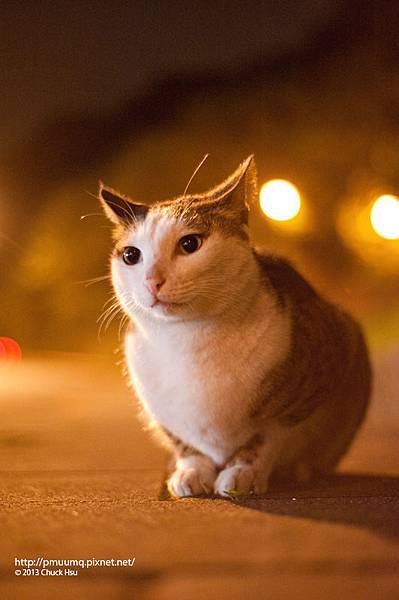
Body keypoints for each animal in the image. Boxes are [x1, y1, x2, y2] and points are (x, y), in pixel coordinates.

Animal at [97, 156, 372, 496]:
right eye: (131, 255)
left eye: (190, 243)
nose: (152, 281)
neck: (189, 339)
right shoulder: (158, 407)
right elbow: (185, 443)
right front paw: (191, 471)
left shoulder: (298, 396)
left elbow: (267, 435)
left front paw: (243, 471)